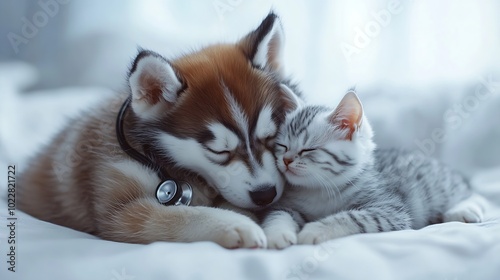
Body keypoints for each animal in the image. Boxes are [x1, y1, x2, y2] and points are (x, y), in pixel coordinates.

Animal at [264, 89, 486, 249]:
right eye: (282, 146)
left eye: (307, 149)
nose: (286, 160)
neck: (320, 190)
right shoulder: (287, 204)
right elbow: (276, 214)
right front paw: (277, 234)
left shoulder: (391, 211)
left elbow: (353, 216)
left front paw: (314, 230)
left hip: (438, 185)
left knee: (471, 193)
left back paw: (463, 210)